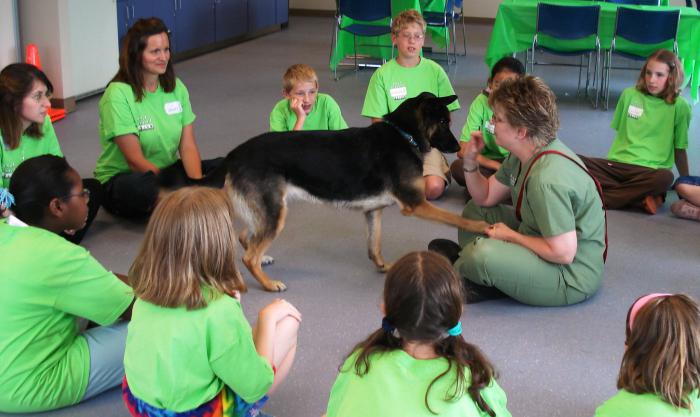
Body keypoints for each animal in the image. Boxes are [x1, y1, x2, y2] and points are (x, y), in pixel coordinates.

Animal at [164, 92, 486, 290]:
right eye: (443, 122)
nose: (458, 147)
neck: (402, 133)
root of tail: (235, 153)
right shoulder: (417, 204)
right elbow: (458, 219)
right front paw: (482, 227)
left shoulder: (373, 211)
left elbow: (374, 246)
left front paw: (382, 266)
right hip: (275, 213)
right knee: (248, 255)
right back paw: (268, 284)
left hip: (268, 211)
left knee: (246, 237)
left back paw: (264, 261)